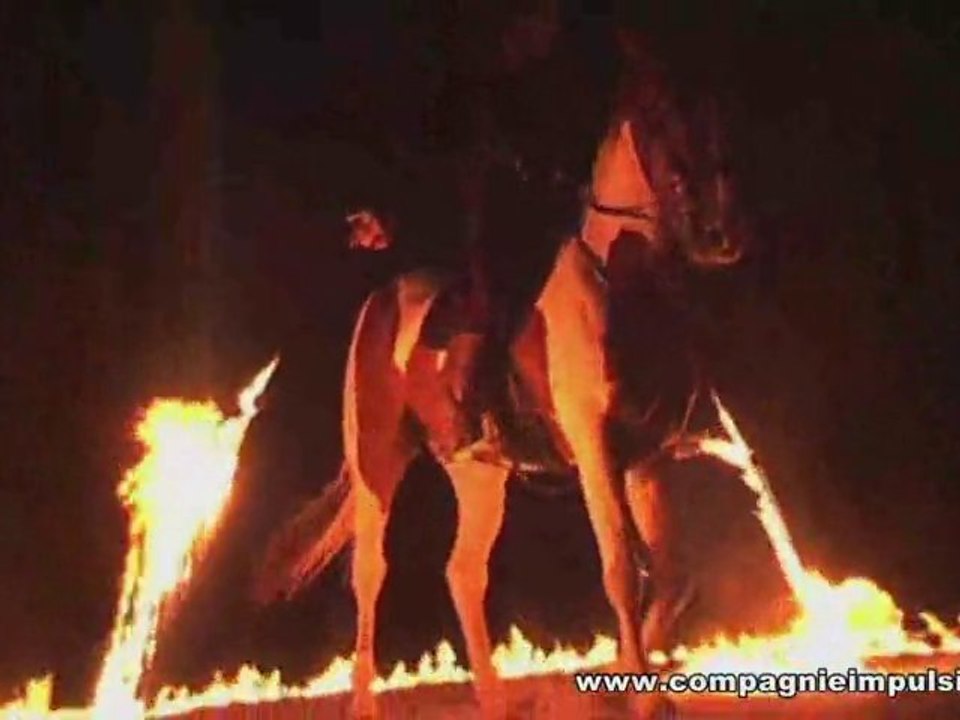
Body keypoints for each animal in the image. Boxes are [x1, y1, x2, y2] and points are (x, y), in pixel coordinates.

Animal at [254, 74, 745, 719]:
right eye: (663, 130)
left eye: (715, 126)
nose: (720, 237)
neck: (620, 288)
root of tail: (382, 300)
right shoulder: (597, 454)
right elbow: (621, 569)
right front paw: (637, 692)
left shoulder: (646, 460)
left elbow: (670, 574)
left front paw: (621, 684)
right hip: (378, 460)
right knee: (370, 572)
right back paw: (365, 703)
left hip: (479, 475)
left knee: (463, 572)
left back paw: (492, 697)